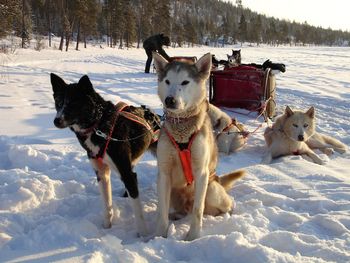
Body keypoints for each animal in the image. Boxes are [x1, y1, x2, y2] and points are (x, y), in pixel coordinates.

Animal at [50, 73, 161, 236]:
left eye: (73, 103)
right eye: (58, 103)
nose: (56, 120)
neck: (100, 126)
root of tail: (156, 116)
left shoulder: (126, 173)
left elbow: (138, 212)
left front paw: (144, 236)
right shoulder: (102, 173)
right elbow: (107, 205)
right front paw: (106, 228)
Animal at [152, 51, 245, 241]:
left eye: (185, 82)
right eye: (167, 81)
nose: (169, 100)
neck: (182, 131)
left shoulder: (201, 172)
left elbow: (198, 210)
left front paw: (193, 237)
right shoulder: (164, 174)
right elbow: (162, 211)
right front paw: (159, 235)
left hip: (211, 189)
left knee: (222, 205)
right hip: (173, 191)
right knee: (180, 210)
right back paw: (176, 215)